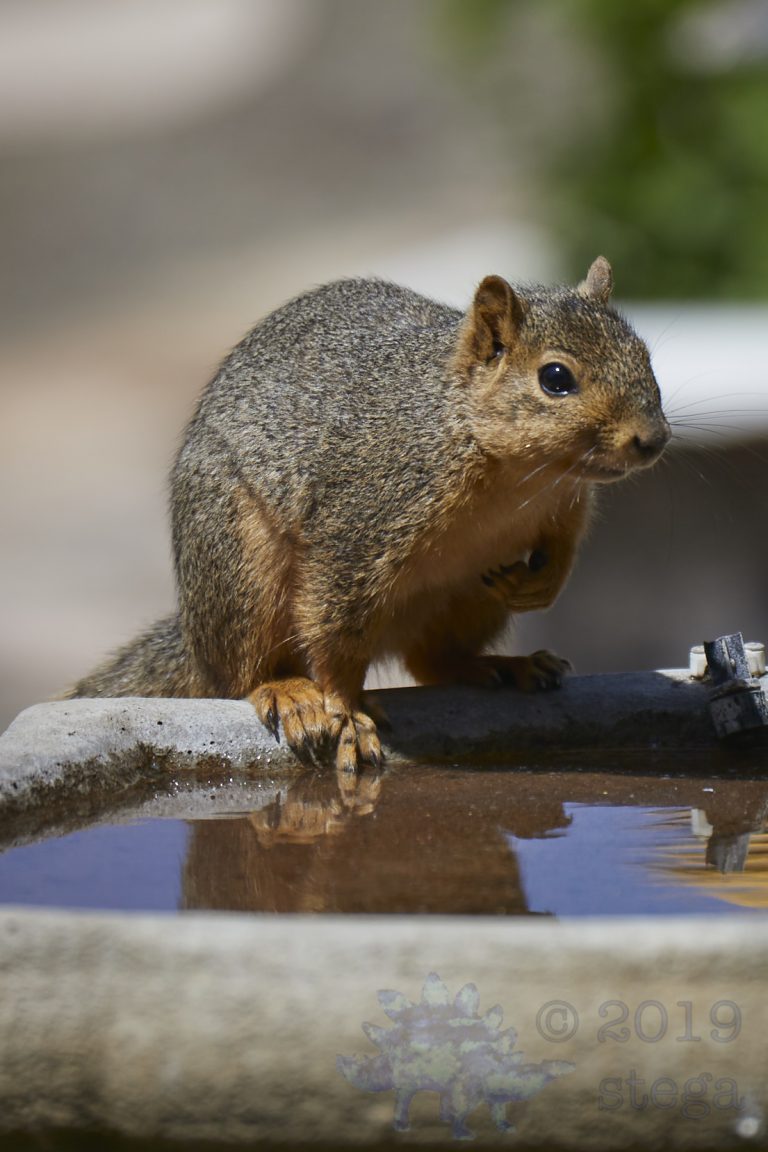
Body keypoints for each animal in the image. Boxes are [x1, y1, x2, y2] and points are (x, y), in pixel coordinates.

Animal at [67, 256, 670, 771]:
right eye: (556, 379)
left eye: (644, 355)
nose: (653, 440)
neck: (517, 473)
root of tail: (194, 635)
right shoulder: (358, 524)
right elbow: (334, 626)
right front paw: (345, 709)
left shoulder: (566, 504)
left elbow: (564, 546)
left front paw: (540, 585)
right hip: (241, 570)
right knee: (239, 674)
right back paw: (287, 691)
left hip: (467, 596)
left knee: (432, 662)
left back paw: (504, 665)